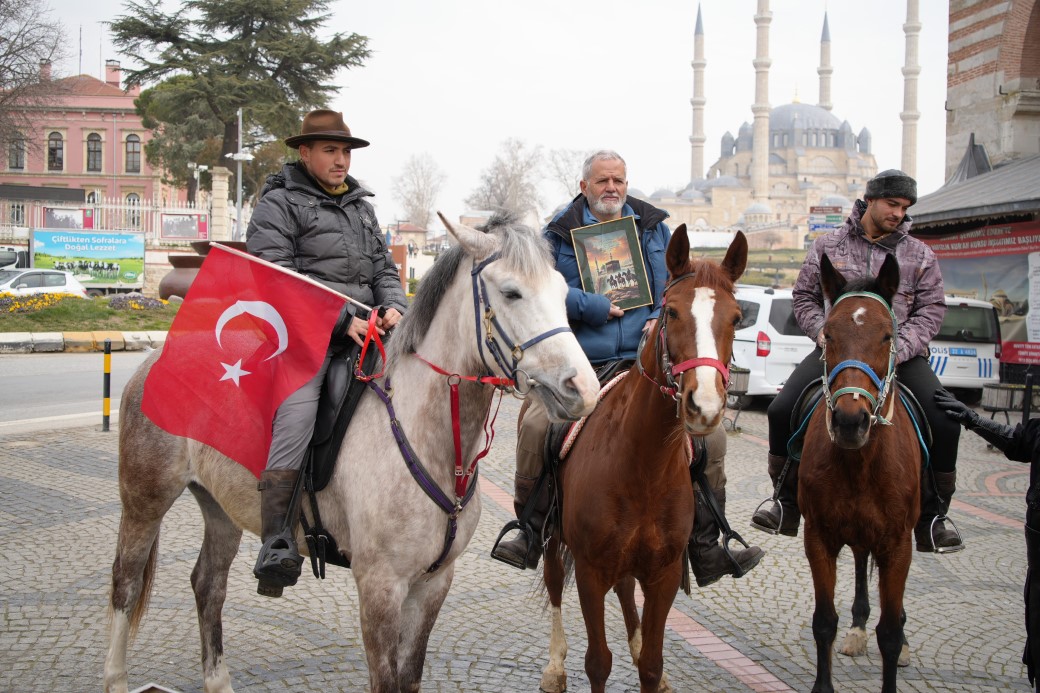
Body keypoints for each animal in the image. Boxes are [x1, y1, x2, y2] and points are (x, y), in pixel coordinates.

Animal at [103, 216, 603, 690]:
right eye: (512, 292)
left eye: (563, 292)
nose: (582, 388)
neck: (428, 437)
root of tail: (157, 357)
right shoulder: (380, 586)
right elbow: (386, 680)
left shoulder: (434, 584)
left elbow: (409, 677)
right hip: (144, 501)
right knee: (125, 585)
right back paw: (117, 677)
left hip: (220, 510)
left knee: (208, 585)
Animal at [536, 227, 748, 690]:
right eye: (671, 312)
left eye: (737, 318)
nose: (704, 407)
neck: (644, 465)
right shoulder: (591, 572)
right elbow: (598, 662)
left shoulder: (664, 574)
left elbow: (651, 663)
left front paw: (648, 661)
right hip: (552, 537)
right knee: (555, 580)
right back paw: (554, 667)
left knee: (625, 588)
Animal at [798, 252, 923, 690]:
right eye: (828, 334)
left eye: (887, 336)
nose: (851, 421)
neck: (860, 463)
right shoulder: (819, 537)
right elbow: (823, 622)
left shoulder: (898, 544)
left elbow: (890, 633)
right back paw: (857, 627)